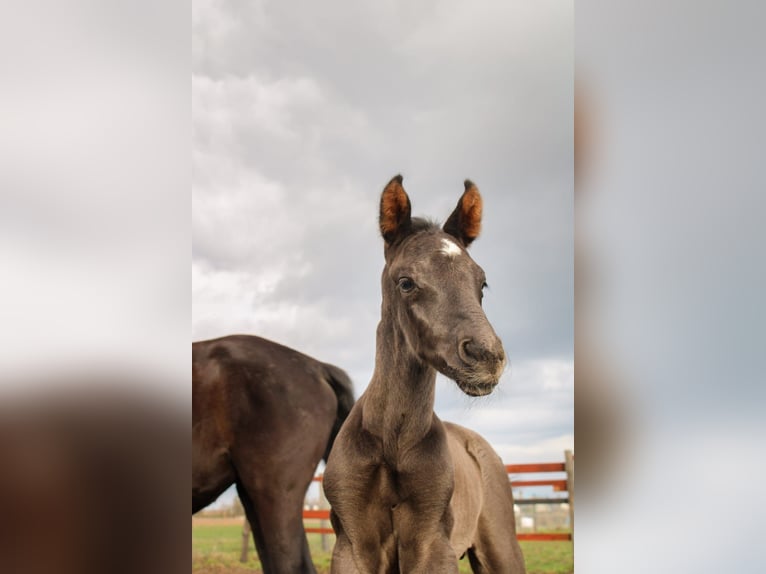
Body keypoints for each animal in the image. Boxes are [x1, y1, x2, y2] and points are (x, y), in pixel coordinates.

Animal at [324, 178, 528, 572]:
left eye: (481, 283)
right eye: (406, 282)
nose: (486, 355)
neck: (393, 442)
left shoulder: (432, 545)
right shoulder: (351, 546)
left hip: (501, 548)